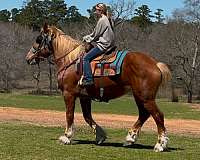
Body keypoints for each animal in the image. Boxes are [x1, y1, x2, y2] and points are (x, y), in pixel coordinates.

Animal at [25, 23, 172, 152]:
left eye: (38, 39)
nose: (28, 58)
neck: (70, 60)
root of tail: (155, 64)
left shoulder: (69, 94)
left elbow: (69, 115)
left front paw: (66, 137)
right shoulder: (84, 97)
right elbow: (87, 117)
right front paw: (100, 136)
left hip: (146, 97)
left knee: (158, 115)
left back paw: (160, 144)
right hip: (139, 96)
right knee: (144, 114)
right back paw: (130, 138)